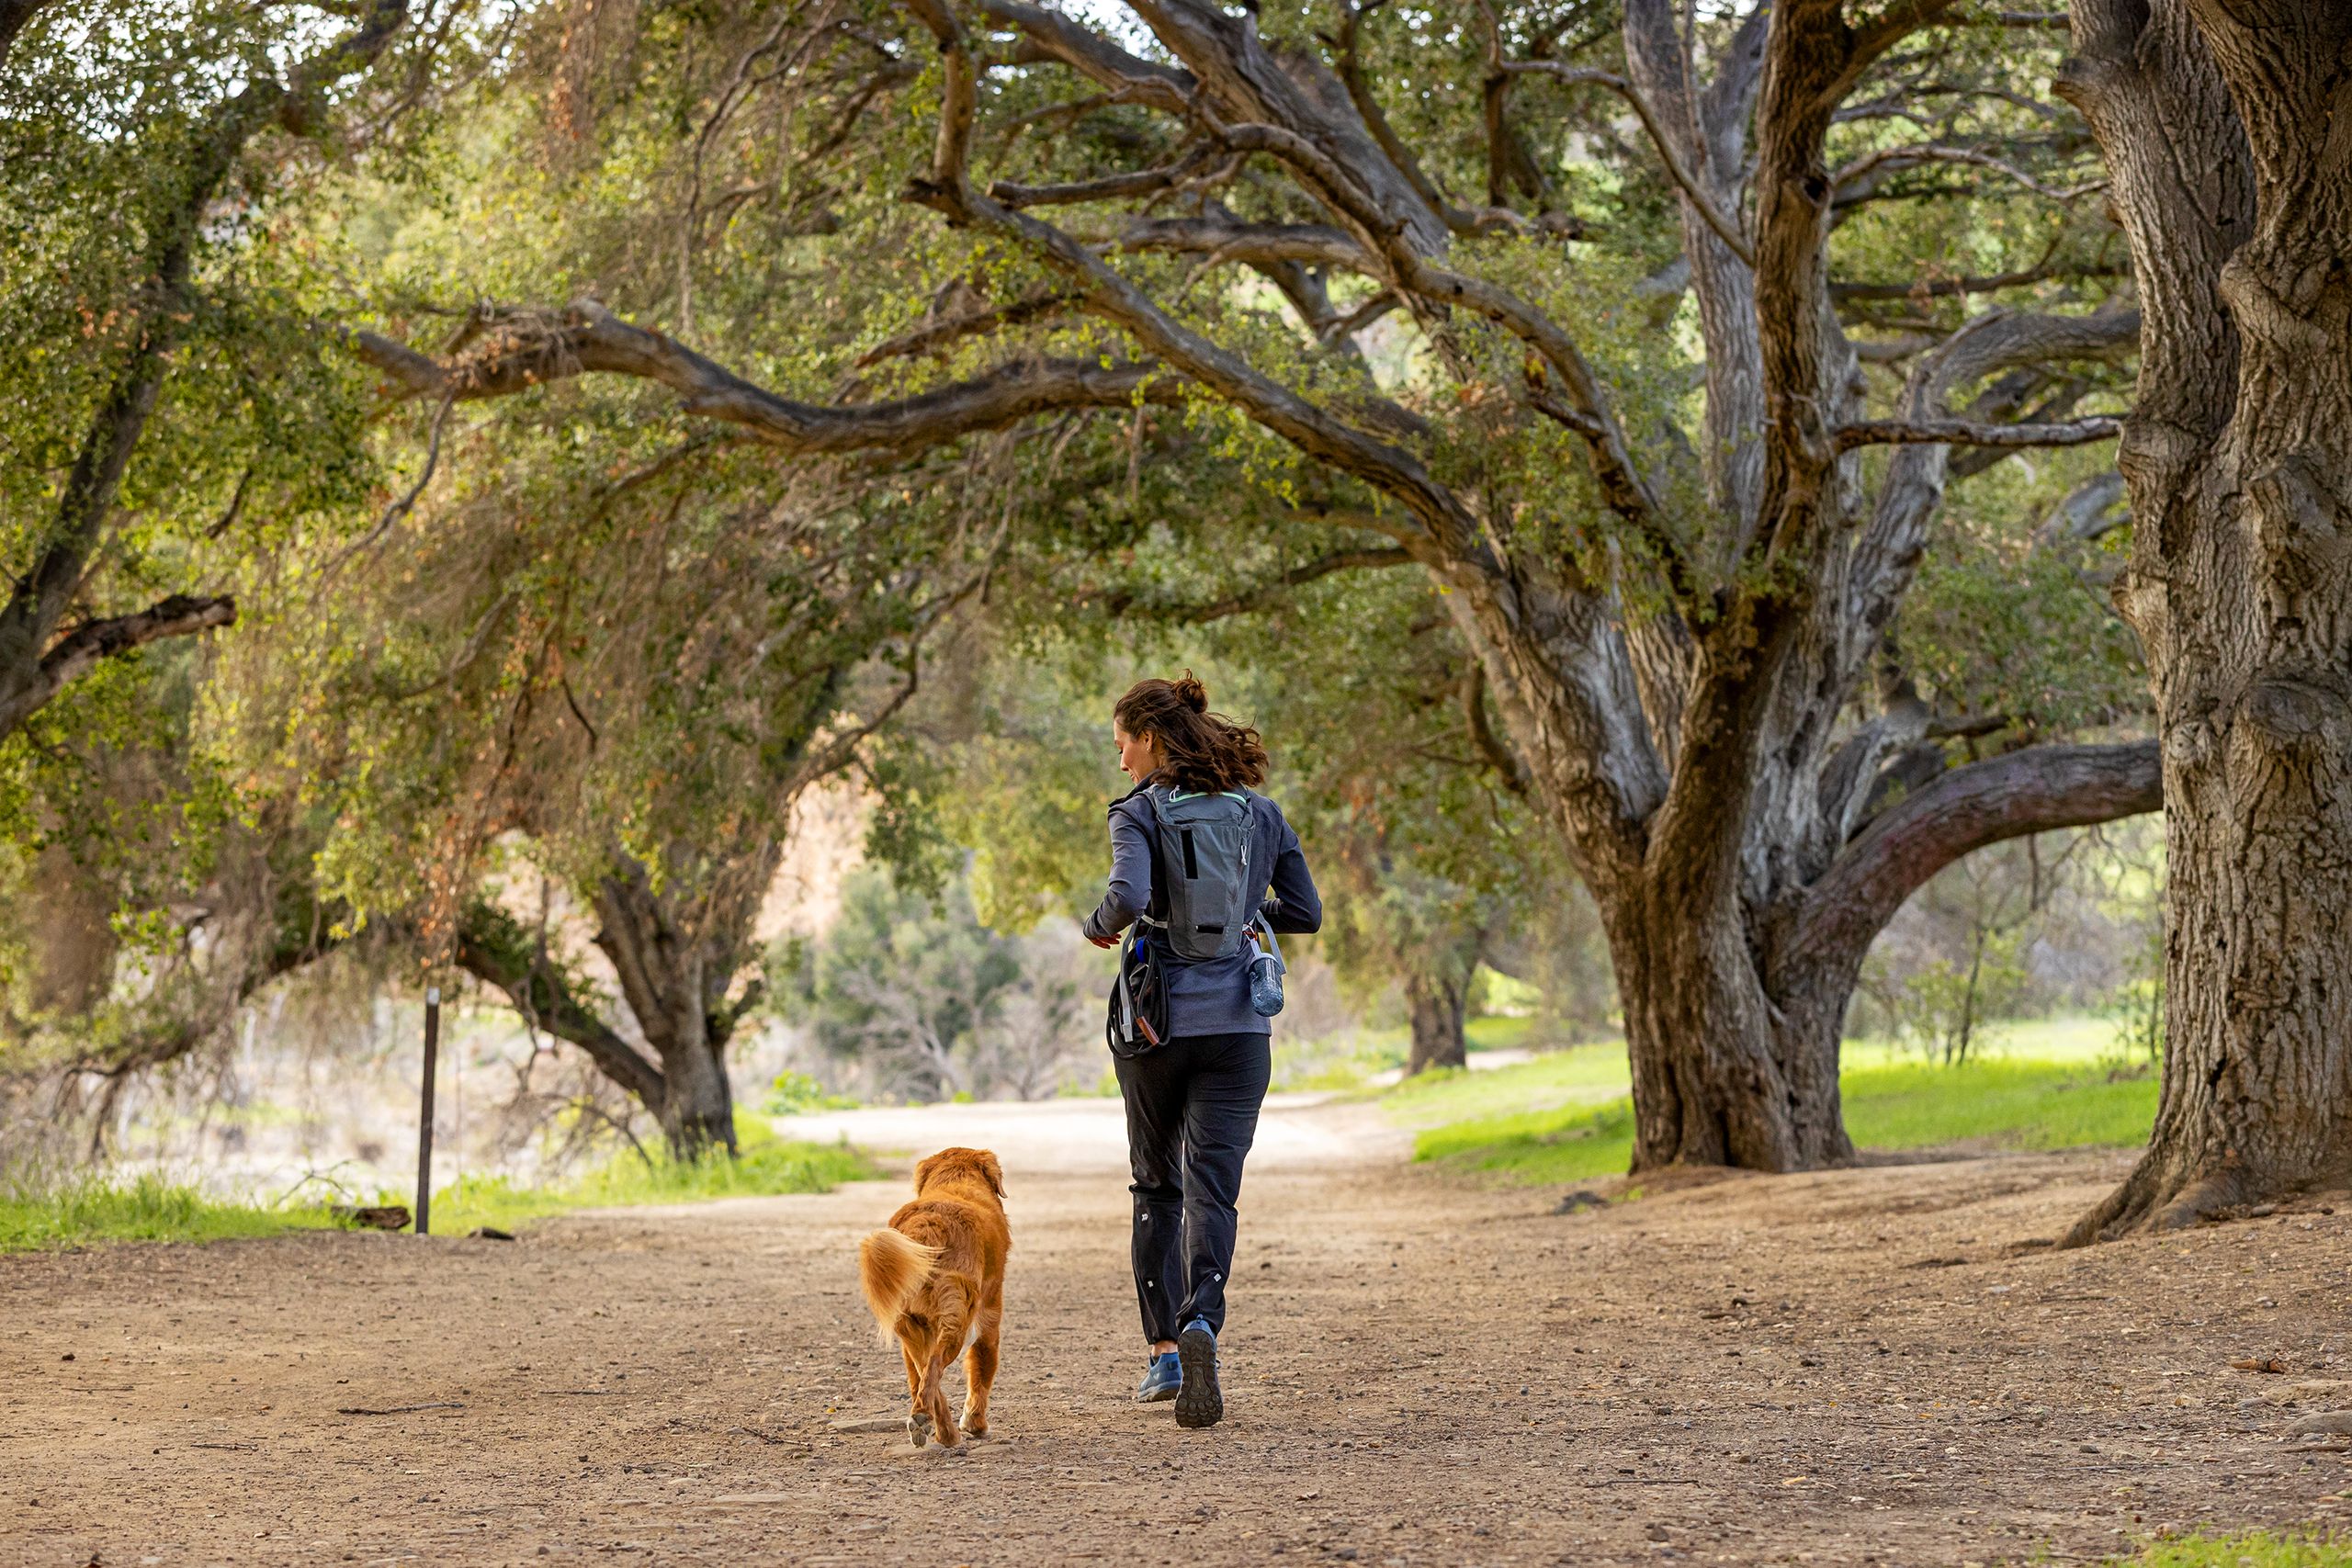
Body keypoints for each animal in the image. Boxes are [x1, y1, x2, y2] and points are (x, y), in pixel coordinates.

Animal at [865, 1146, 1011, 1457]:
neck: (955, 1180)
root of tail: (927, 1223)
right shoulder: (990, 1316)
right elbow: (982, 1366)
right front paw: (975, 1423)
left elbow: (917, 1377)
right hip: (957, 1319)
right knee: (934, 1366)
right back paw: (941, 1429)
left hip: (910, 1327)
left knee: (925, 1372)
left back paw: (933, 1427)